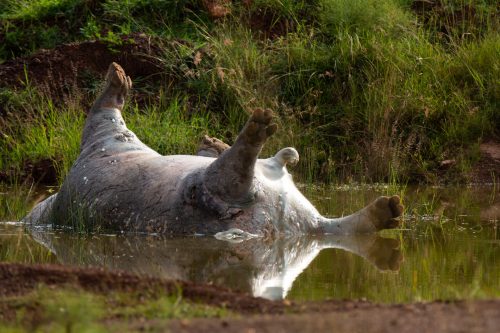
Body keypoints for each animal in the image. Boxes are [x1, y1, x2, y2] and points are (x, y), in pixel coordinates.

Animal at [24, 63, 406, 236]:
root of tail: (306, 228)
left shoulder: (106, 142)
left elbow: (106, 115)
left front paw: (210, 141)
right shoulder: (104, 142)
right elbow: (105, 115)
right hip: (227, 189)